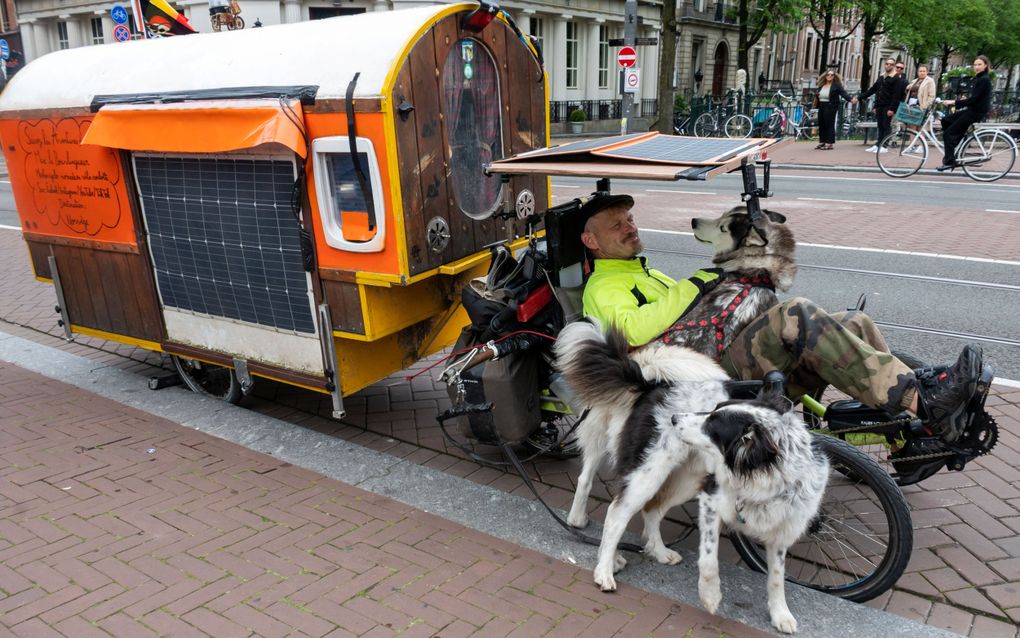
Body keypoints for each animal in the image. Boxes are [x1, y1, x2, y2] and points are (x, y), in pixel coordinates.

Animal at [558, 318, 828, 632]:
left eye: (712, 423)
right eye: (712, 411)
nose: (676, 419)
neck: (761, 481)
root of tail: (652, 385)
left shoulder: (782, 531)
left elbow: (776, 579)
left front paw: (781, 614)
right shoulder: (711, 502)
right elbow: (709, 560)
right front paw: (710, 596)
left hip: (685, 479)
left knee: (651, 510)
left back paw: (657, 551)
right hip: (649, 474)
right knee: (616, 513)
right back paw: (605, 569)